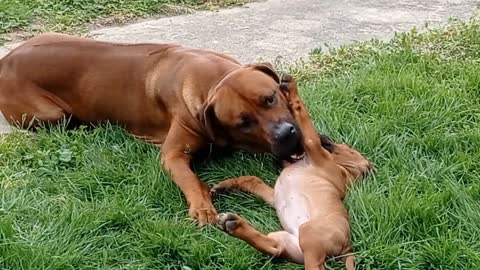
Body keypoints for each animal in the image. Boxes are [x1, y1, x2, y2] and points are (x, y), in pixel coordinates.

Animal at [0, 33, 300, 226]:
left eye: (270, 98)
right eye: (244, 122)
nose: (286, 133)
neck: (213, 78)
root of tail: (6, 59)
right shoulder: (173, 154)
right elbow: (190, 179)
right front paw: (202, 206)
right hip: (52, 116)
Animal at [212, 76, 374, 270]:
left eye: (347, 148)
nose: (325, 136)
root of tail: (347, 245)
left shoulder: (315, 148)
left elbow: (304, 119)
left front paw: (292, 89)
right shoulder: (274, 197)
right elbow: (254, 180)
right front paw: (224, 186)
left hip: (309, 233)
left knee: (314, 266)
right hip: (285, 241)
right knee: (275, 249)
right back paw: (233, 224)